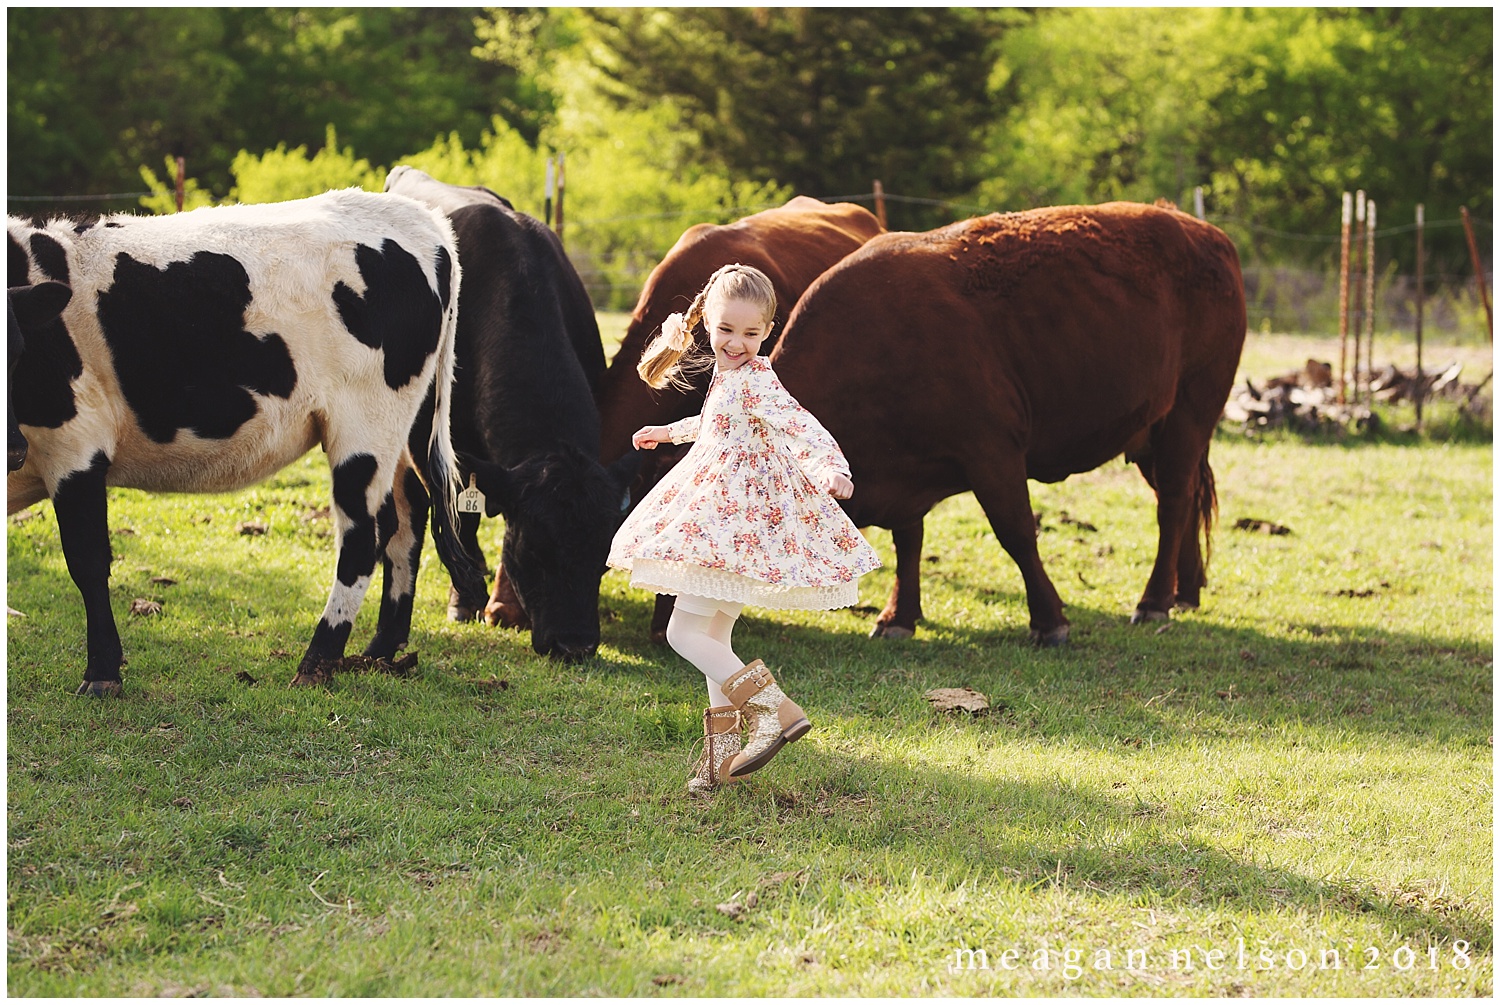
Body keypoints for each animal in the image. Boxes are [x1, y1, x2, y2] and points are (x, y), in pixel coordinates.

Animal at [7, 186, 486, 693]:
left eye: (16, 353)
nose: (14, 450)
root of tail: (422, 219)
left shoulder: (75, 443)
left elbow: (87, 560)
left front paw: (101, 674)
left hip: (366, 426)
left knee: (365, 535)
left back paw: (318, 659)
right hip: (402, 431)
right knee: (409, 515)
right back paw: (380, 649)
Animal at [381, 165, 639, 660]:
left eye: (604, 553)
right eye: (536, 551)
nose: (575, 644)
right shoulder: (432, 444)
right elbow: (460, 517)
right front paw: (466, 599)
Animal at [768, 202, 1248, 645]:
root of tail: (1203, 231)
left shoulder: (992, 451)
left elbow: (1016, 533)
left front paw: (1049, 621)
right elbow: (909, 540)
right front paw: (898, 616)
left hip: (1189, 413)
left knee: (1174, 503)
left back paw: (1154, 601)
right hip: (1151, 430)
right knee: (1186, 496)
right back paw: (1185, 591)